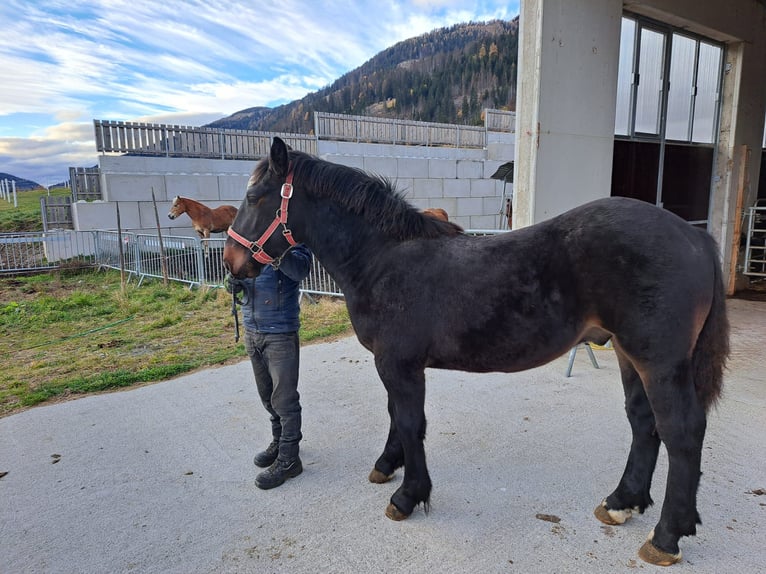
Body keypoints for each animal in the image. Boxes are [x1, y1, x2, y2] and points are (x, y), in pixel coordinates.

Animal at [224, 137, 732, 568]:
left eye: (255, 197)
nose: (232, 263)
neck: (383, 259)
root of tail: (696, 238)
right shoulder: (394, 365)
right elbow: (395, 417)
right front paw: (388, 465)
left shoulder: (399, 365)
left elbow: (409, 423)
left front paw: (407, 496)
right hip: (631, 357)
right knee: (644, 424)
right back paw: (622, 503)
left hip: (659, 362)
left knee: (682, 432)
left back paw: (666, 537)